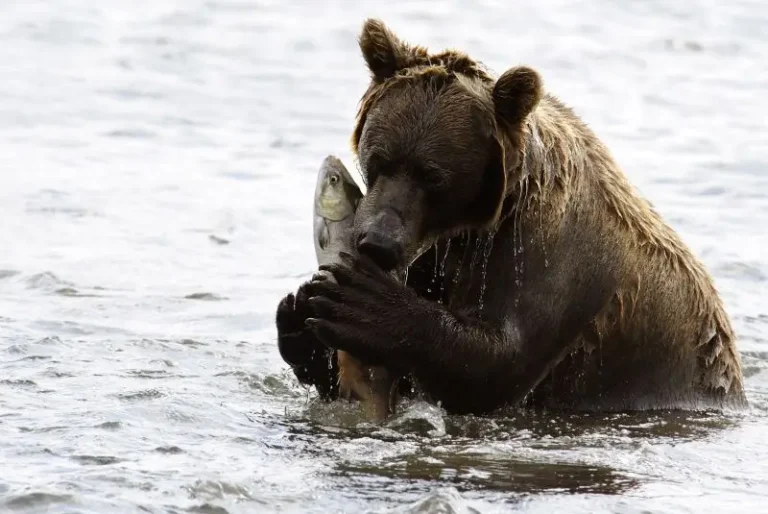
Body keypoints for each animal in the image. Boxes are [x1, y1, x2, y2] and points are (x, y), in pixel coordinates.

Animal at [276, 18, 748, 415]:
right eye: (378, 159)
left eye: (434, 177)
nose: (378, 242)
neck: (476, 224)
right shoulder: (437, 254)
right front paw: (299, 309)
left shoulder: (555, 252)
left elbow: (497, 365)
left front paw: (360, 302)